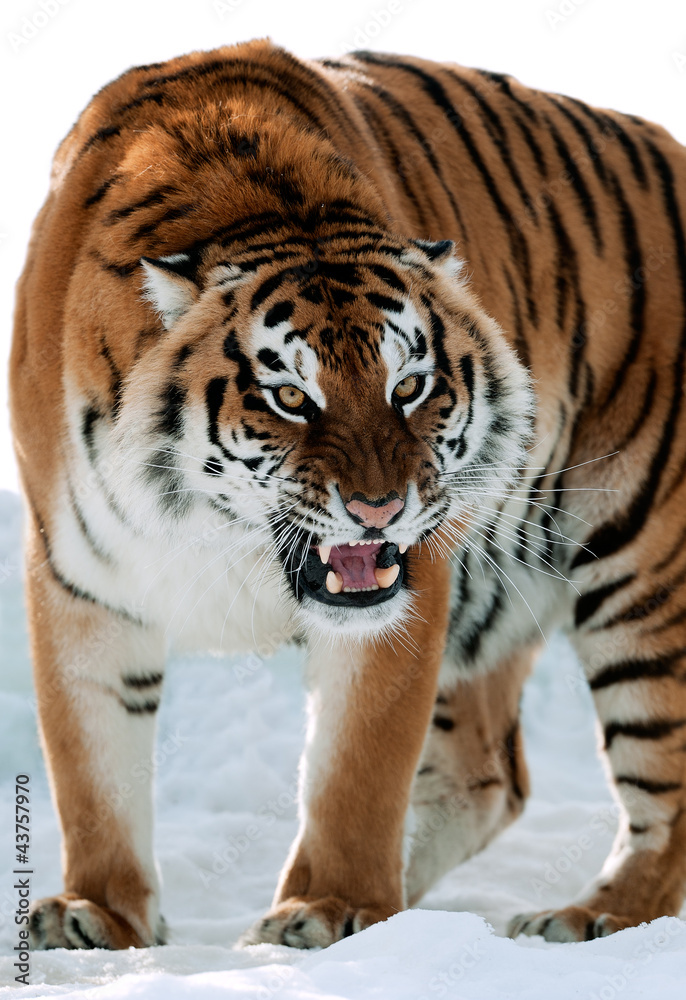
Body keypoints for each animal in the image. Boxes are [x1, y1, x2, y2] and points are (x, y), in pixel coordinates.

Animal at [10, 38, 686, 951]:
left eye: (409, 385)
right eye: (292, 397)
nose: (380, 509)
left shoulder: (410, 588)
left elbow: (356, 766)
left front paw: (329, 909)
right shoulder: (79, 576)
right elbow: (92, 763)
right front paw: (96, 913)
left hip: (645, 563)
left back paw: (588, 918)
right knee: (486, 773)